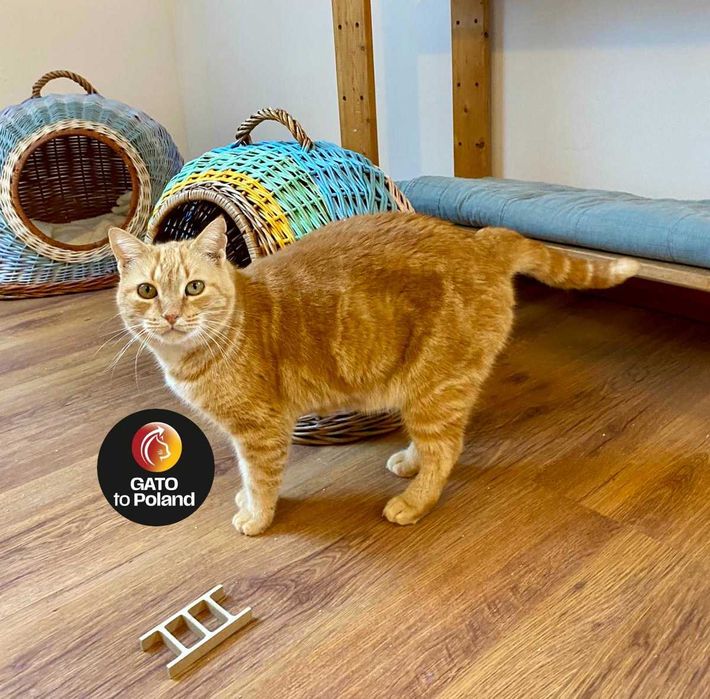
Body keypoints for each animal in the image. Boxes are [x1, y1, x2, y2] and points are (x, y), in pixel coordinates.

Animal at [109, 213, 639, 535]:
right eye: (147, 291)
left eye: (194, 288)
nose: (171, 316)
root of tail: (480, 237)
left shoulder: (260, 431)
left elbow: (260, 478)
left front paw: (256, 516)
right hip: (427, 390)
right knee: (440, 442)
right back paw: (409, 463)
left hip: (433, 387)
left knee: (447, 449)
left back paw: (413, 501)